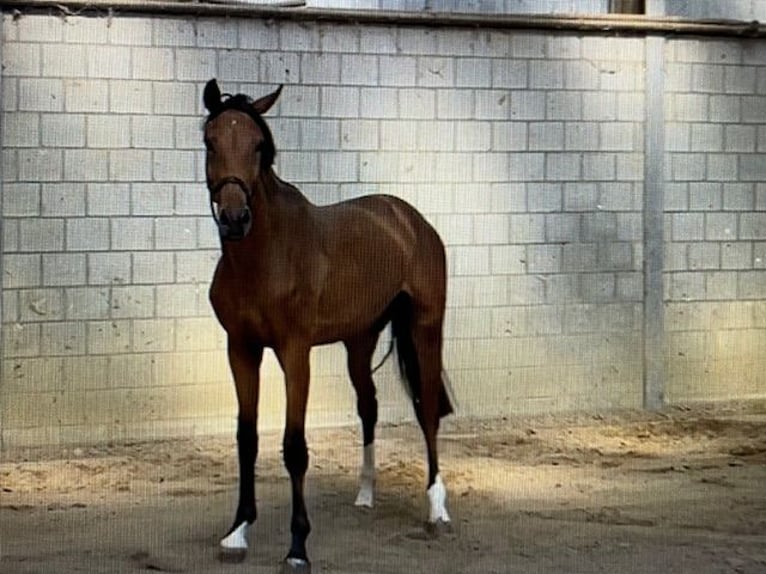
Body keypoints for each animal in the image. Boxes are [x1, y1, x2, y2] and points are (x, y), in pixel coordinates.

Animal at [202, 80, 456, 572]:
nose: (236, 218)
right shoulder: (240, 349)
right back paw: (366, 494)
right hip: (360, 340)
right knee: (369, 406)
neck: (266, 257)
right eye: (211, 141)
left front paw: (298, 547)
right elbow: (246, 438)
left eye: (259, 145)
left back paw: (437, 508)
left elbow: (294, 447)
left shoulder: (295, 353)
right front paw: (237, 532)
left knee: (428, 408)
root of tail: (410, 220)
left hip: (426, 328)